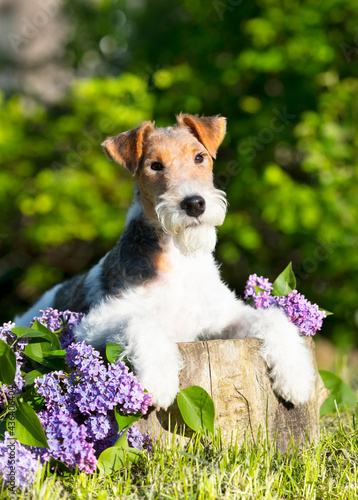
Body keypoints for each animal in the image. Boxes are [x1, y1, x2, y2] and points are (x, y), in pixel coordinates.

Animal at [16, 114, 314, 410]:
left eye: (199, 157)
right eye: (155, 165)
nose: (194, 204)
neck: (178, 258)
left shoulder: (222, 318)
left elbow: (272, 316)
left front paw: (296, 379)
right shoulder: (91, 325)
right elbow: (142, 322)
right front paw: (158, 383)